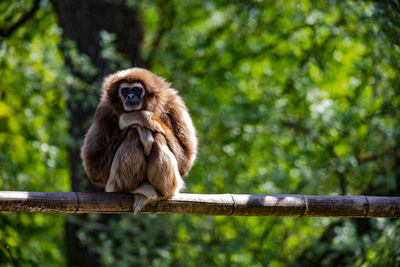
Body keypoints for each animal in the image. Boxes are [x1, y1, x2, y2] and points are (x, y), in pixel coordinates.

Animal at [81, 68, 198, 215]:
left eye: (137, 89)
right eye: (125, 90)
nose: (130, 96)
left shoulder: (174, 103)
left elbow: (185, 159)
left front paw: (139, 117)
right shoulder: (104, 110)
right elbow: (94, 168)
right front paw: (140, 127)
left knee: (158, 137)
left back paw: (159, 193)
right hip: (113, 184)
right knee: (133, 134)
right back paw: (133, 188)